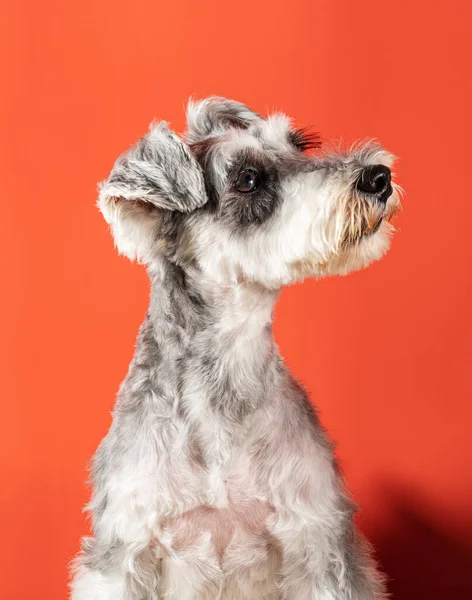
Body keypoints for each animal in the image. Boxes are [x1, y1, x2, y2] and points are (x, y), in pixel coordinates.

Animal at [71, 96, 402, 596]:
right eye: (248, 179)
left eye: (298, 145)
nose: (377, 176)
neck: (226, 373)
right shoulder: (123, 553)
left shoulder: (318, 542)